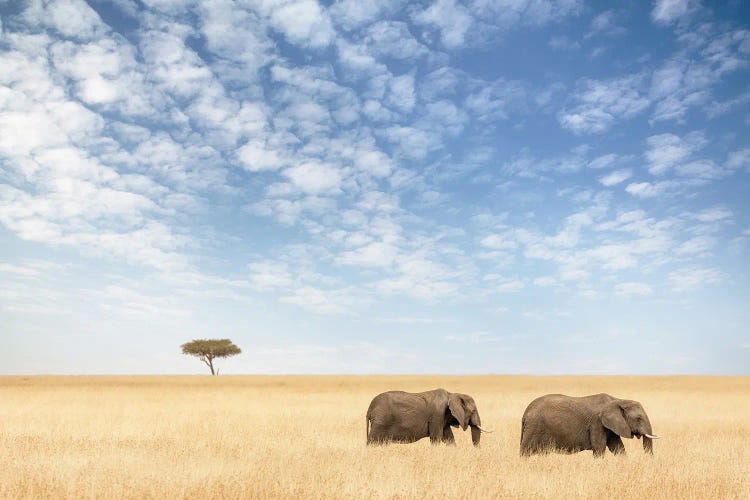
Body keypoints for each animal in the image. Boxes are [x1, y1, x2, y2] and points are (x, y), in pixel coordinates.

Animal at [520, 394, 660, 458]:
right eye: (638, 418)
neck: (618, 400)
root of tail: (526, 413)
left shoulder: (610, 426)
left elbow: (618, 448)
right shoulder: (597, 423)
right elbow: (599, 448)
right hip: (534, 428)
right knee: (525, 451)